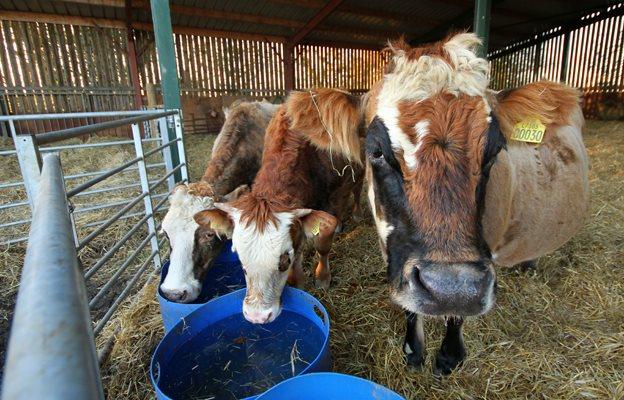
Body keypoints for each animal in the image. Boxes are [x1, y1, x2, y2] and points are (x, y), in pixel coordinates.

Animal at [195, 89, 366, 324]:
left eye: (284, 260)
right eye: (241, 263)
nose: (257, 316)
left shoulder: (336, 194)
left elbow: (323, 244)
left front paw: (323, 278)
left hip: (358, 172)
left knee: (357, 191)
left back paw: (354, 215)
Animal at [364, 33, 588, 376]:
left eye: (495, 150)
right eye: (376, 151)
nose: (450, 287)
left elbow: (457, 313)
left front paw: (447, 358)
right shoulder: (392, 253)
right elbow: (409, 306)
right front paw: (413, 352)